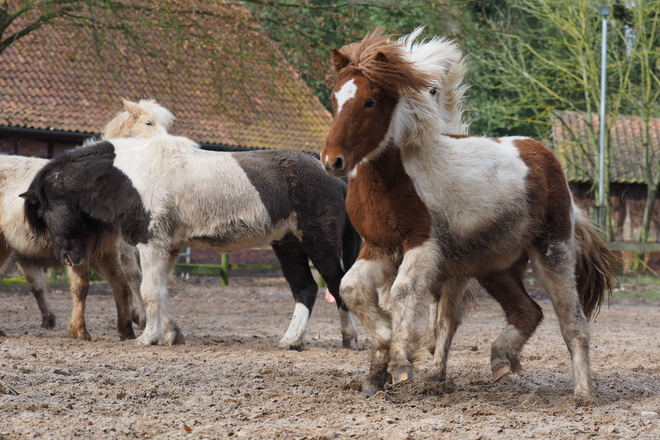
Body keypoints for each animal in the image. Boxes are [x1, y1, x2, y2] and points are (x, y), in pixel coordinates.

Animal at [322, 26, 616, 398]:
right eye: (335, 99)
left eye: (369, 101)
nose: (332, 161)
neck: (399, 175)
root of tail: (544, 156)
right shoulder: (378, 247)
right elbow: (349, 287)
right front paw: (382, 359)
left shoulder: (422, 244)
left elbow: (403, 291)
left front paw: (401, 360)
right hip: (495, 266)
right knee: (527, 311)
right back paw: (496, 360)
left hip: (553, 251)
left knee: (572, 322)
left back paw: (582, 394)